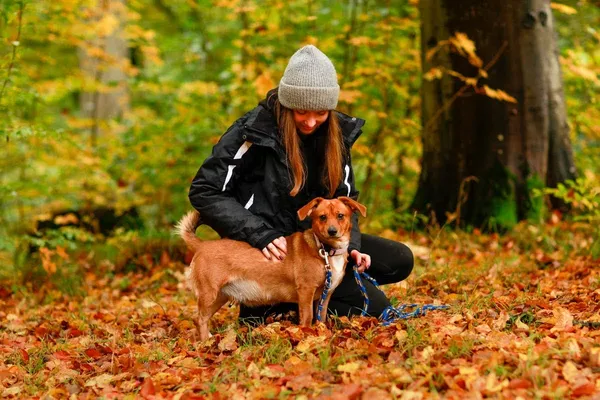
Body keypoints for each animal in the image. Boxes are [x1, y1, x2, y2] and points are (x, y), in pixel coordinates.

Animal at [176, 197, 366, 340]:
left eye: (340, 216)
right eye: (322, 217)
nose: (332, 231)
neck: (325, 250)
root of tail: (202, 245)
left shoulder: (325, 295)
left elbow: (321, 318)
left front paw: (321, 332)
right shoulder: (306, 291)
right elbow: (307, 318)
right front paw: (306, 335)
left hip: (219, 297)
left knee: (202, 318)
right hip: (209, 294)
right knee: (199, 319)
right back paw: (205, 343)